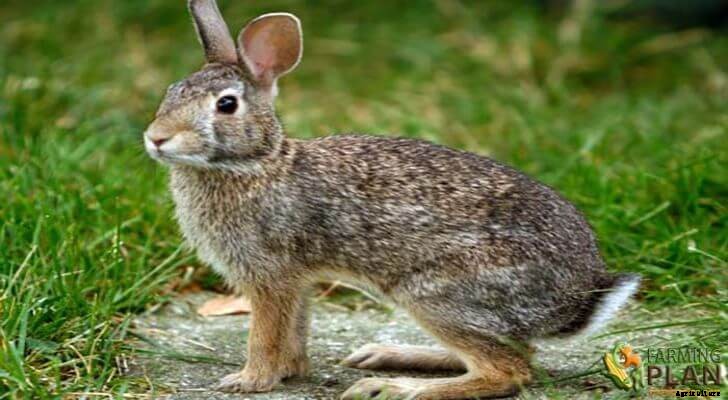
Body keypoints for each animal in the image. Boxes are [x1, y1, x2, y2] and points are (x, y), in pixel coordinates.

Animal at [143, 1, 641, 398]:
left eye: (226, 105)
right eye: (171, 92)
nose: (156, 138)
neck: (254, 164)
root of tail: (578, 295)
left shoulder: (270, 276)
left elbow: (265, 334)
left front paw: (249, 381)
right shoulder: (298, 281)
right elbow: (295, 330)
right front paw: (290, 373)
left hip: (435, 292)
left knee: (509, 369)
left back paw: (393, 387)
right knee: (515, 351)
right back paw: (385, 355)